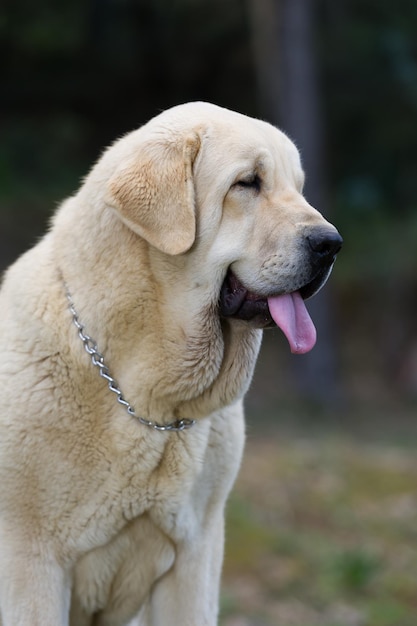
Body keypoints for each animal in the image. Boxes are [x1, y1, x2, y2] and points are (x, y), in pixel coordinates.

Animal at [0, 103, 340, 624]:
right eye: (248, 183)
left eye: (298, 188)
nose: (331, 243)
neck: (148, 403)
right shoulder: (31, 562)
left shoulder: (195, 558)